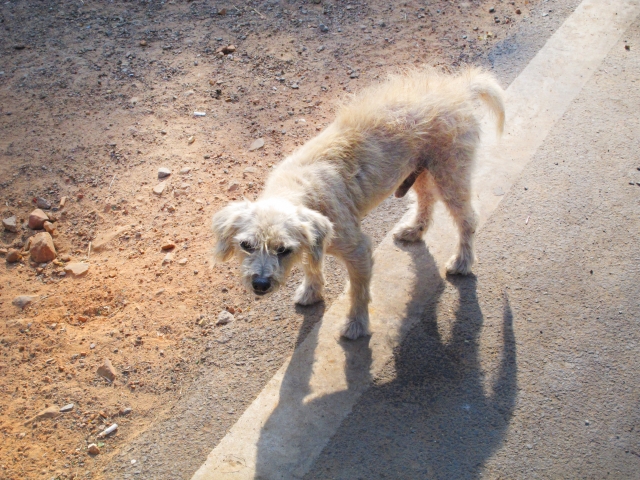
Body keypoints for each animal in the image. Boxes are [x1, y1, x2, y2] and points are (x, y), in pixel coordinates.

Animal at [212, 67, 502, 340]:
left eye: (283, 249)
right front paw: (311, 292)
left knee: (468, 220)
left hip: (450, 176)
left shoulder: (359, 250)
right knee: (426, 199)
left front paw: (356, 325)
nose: (260, 284)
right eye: (246, 245)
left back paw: (462, 262)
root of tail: (460, 88)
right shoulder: (314, 241)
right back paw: (413, 230)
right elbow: (312, 265)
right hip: (420, 171)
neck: (298, 187)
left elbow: (359, 291)